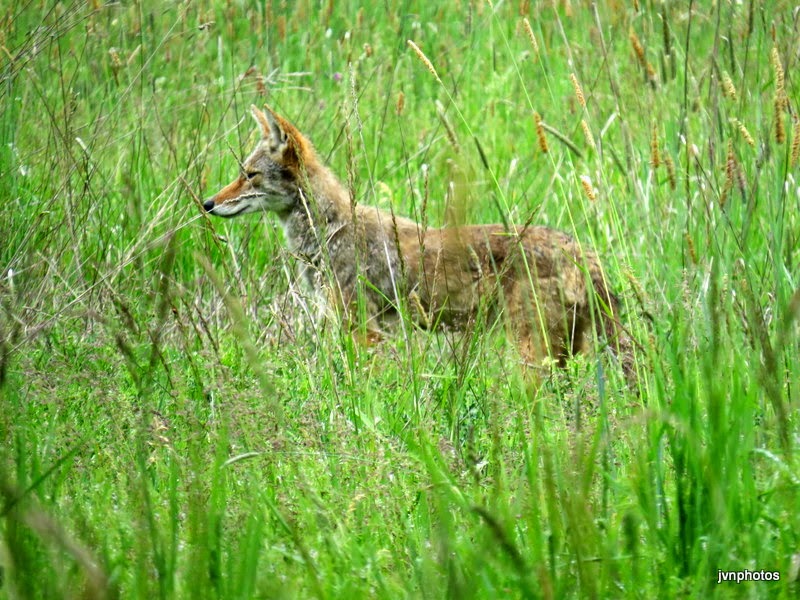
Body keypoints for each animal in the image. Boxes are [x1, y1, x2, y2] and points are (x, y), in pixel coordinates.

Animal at [203, 104, 634, 379]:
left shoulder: (364, 332)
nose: (207, 204)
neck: (332, 230)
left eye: (249, 175)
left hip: (532, 354)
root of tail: (583, 252)